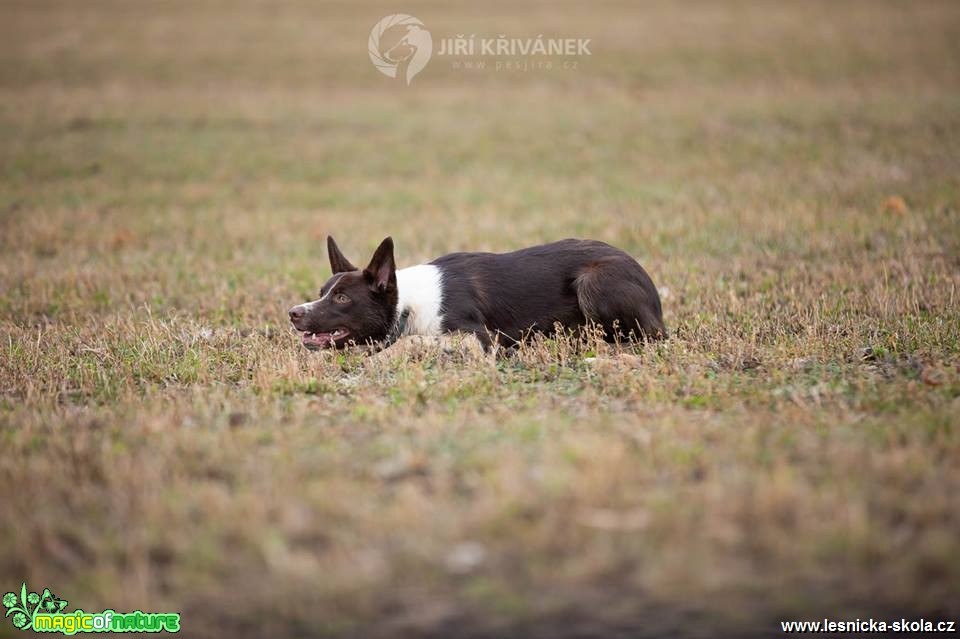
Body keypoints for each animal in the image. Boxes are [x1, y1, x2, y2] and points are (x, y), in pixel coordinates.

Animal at [290, 238, 668, 352]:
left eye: (342, 298)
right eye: (322, 293)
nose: (293, 312)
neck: (406, 306)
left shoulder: (478, 335)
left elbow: (411, 341)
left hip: (593, 281)